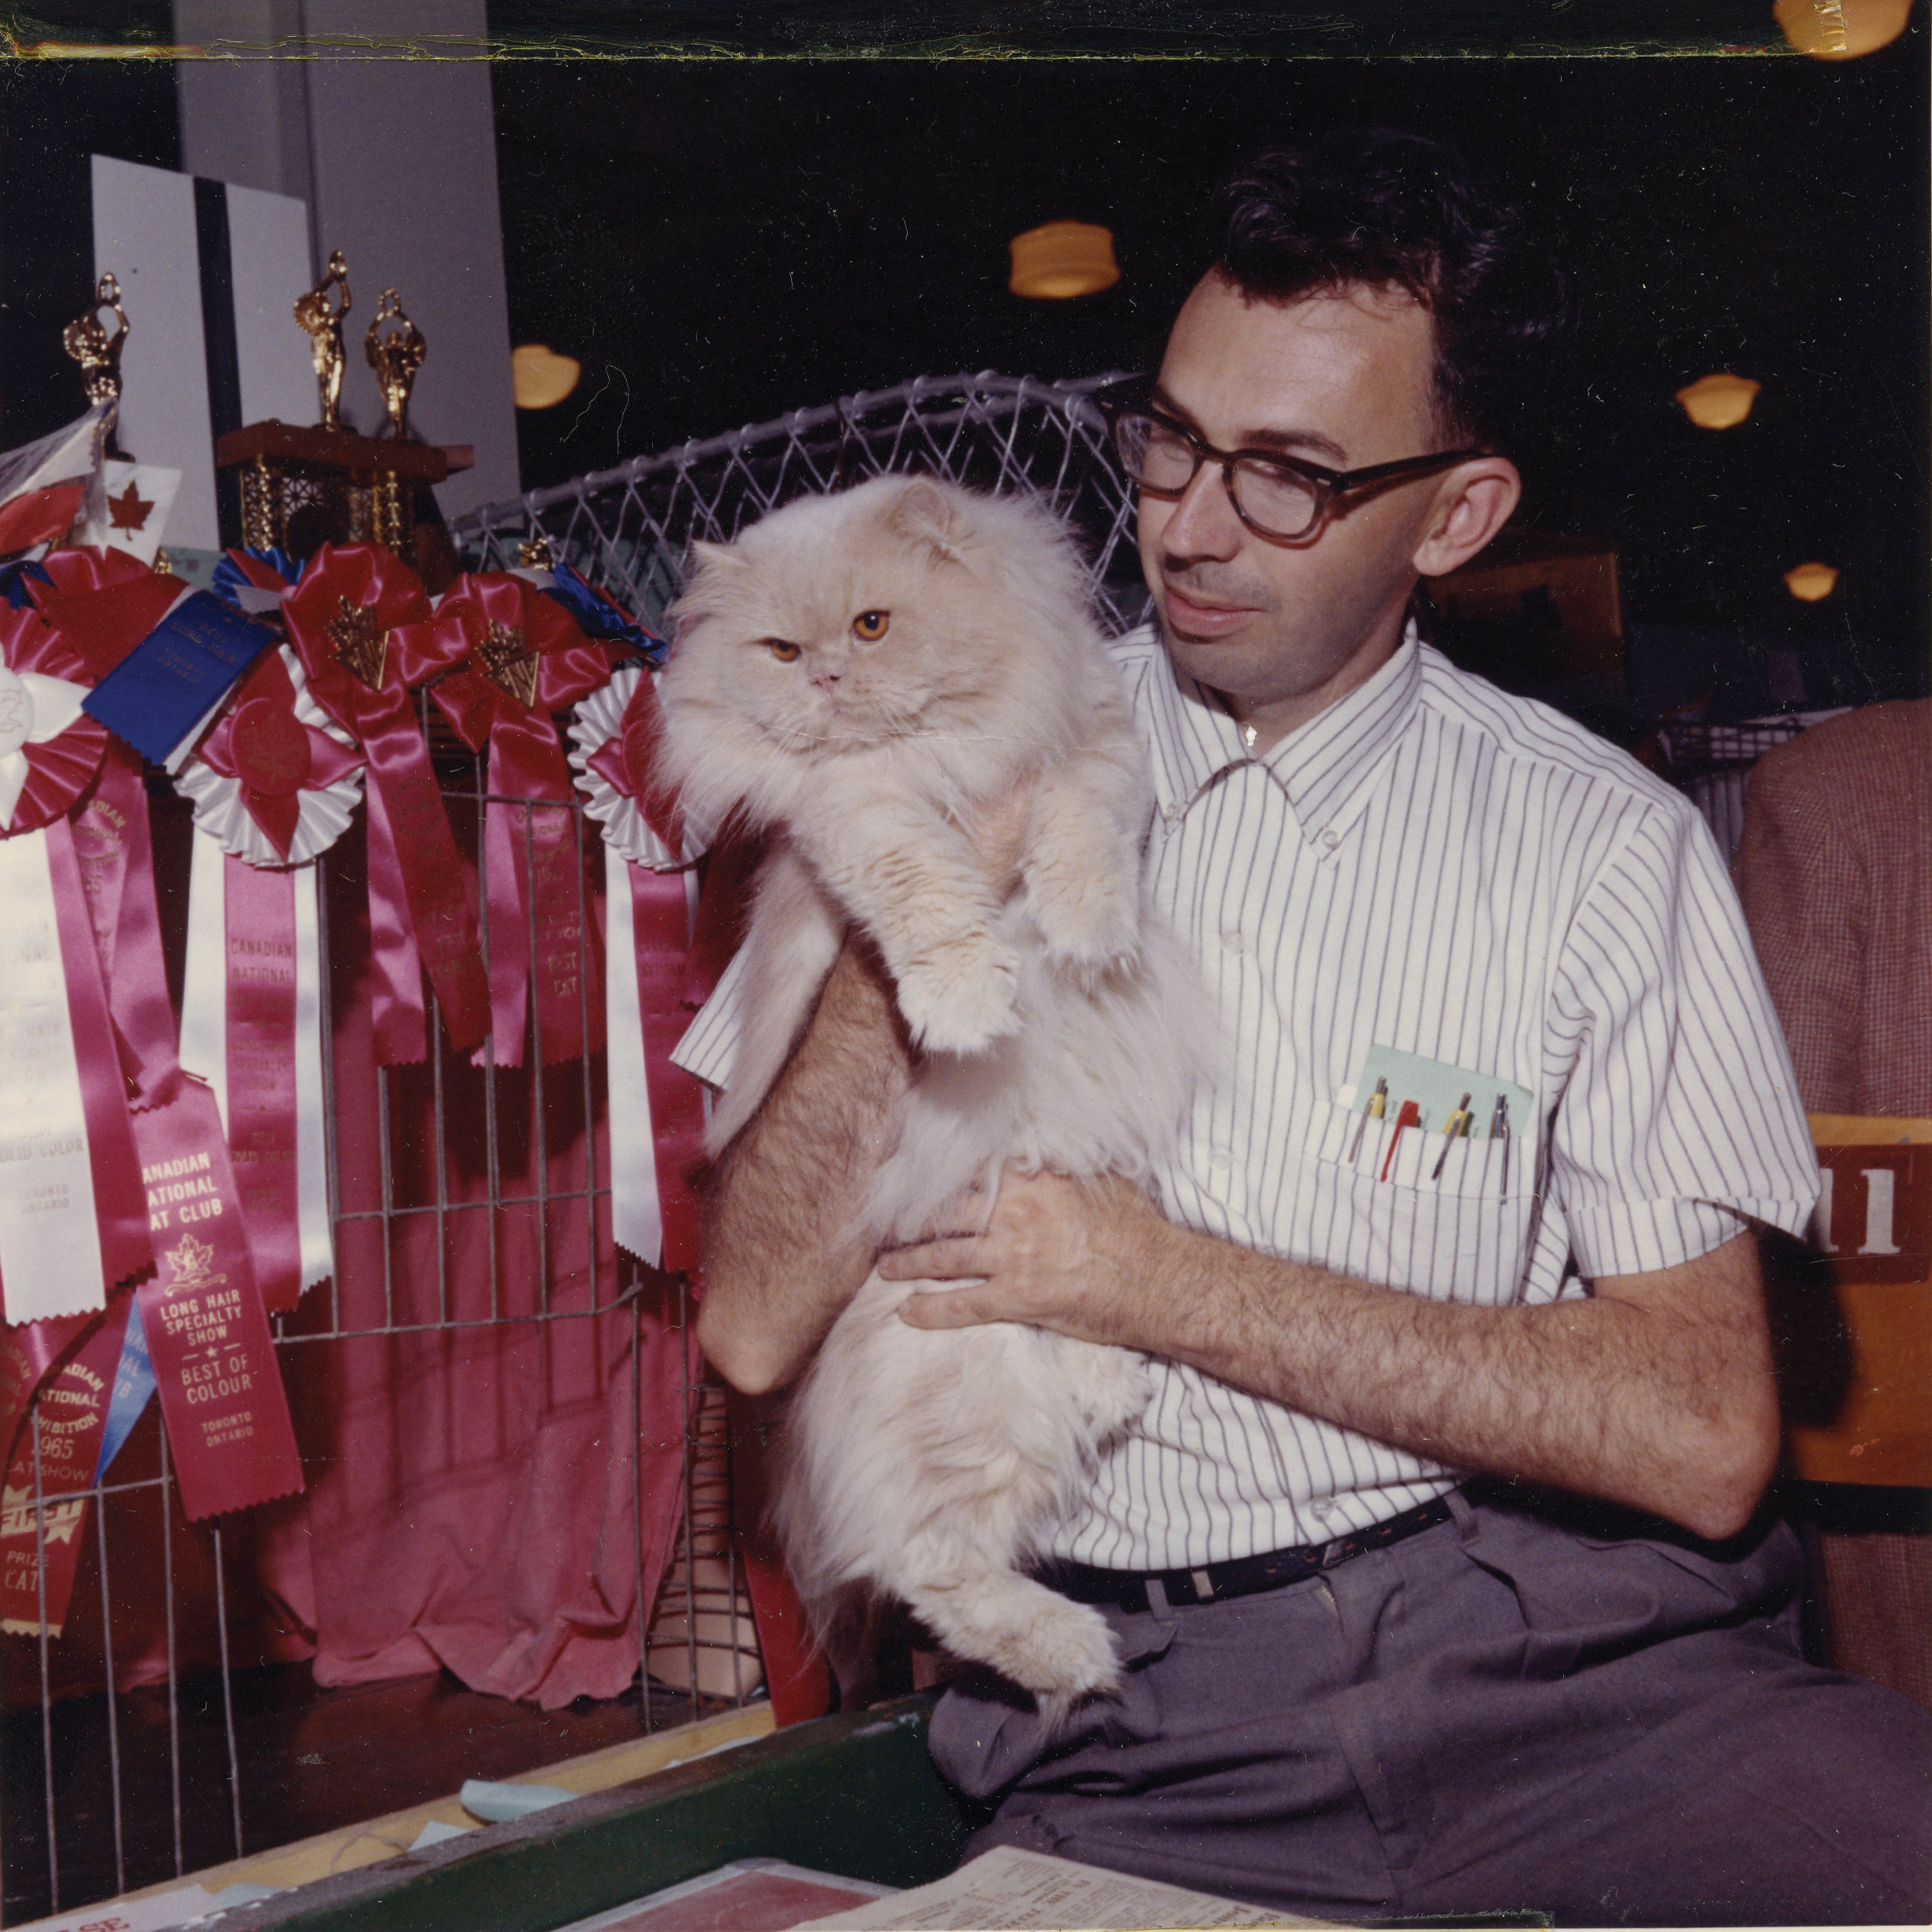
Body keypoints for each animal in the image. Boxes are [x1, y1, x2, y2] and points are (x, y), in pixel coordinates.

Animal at [664, 475, 1205, 1715]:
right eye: (780, 650)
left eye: (871, 627)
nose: (823, 677)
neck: (943, 751)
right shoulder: (854, 817)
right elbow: (925, 899)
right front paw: (966, 1002)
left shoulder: (1088, 750)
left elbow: (1082, 838)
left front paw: (1083, 933)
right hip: (968, 1378)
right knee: (928, 1565)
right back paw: (1080, 1655)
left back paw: (1109, 1390)